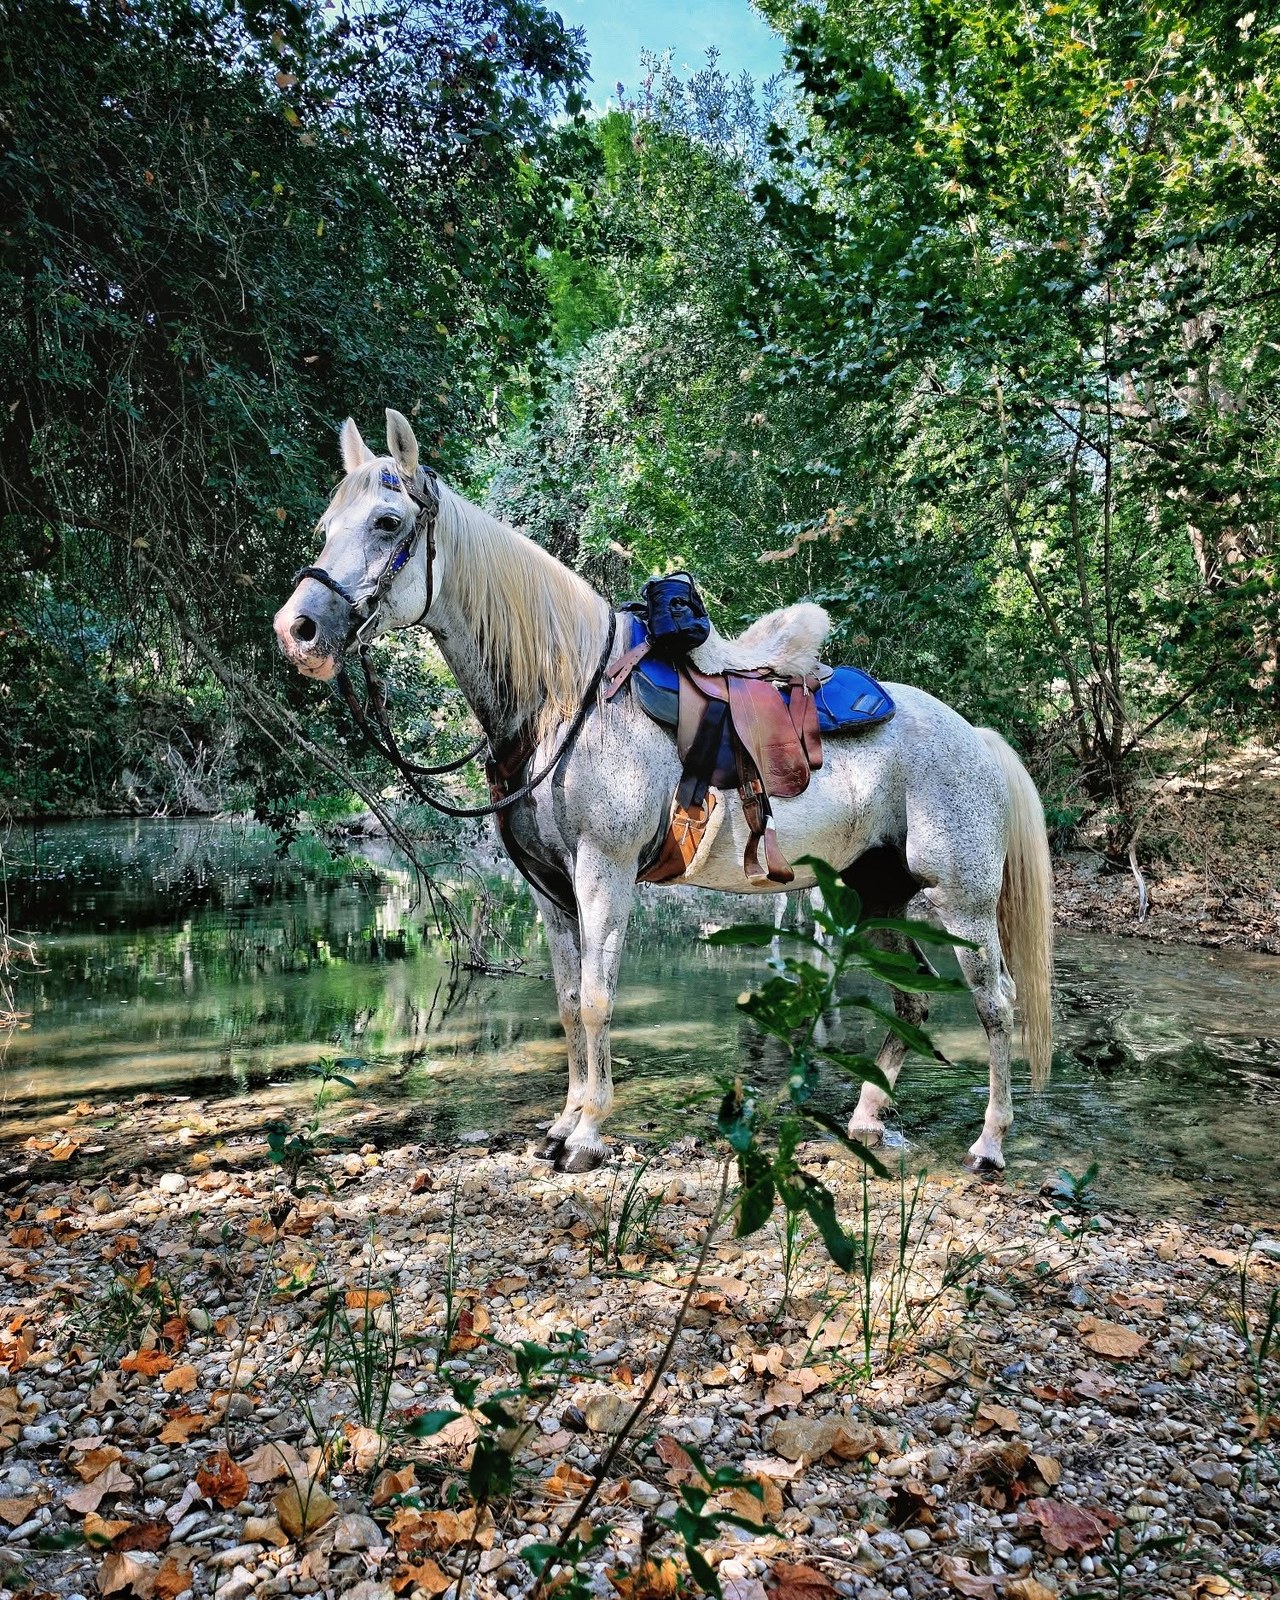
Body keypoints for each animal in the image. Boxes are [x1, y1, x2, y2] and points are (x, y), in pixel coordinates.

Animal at [273, 409, 1054, 1175]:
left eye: (387, 522)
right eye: (326, 527)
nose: (296, 630)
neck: (566, 700)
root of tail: (973, 735)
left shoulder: (604, 870)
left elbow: (596, 1000)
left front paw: (588, 1133)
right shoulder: (549, 888)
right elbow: (566, 1003)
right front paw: (560, 1126)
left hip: (960, 903)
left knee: (995, 1003)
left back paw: (990, 1142)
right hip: (874, 897)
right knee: (910, 1000)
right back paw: (866, 1118)